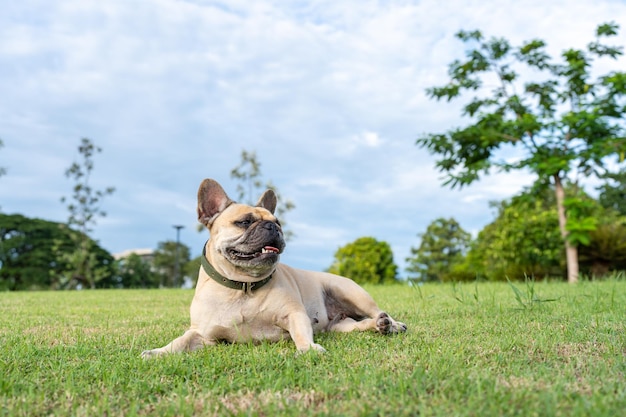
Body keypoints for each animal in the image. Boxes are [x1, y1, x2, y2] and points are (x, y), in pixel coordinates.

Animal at [141, 179, 404, 358]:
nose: (272, 227)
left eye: (278, 223)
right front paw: (158, 352)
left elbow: (301, 332)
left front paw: (308, 348)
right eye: (244, 222)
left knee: (377, 310)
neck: (243, 286)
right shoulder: (202, 334)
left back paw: (393, 324)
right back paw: (379, 325)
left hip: (351, 292)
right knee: (357, 324)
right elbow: (180, 341)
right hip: (340, 326)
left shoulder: (294, 314)